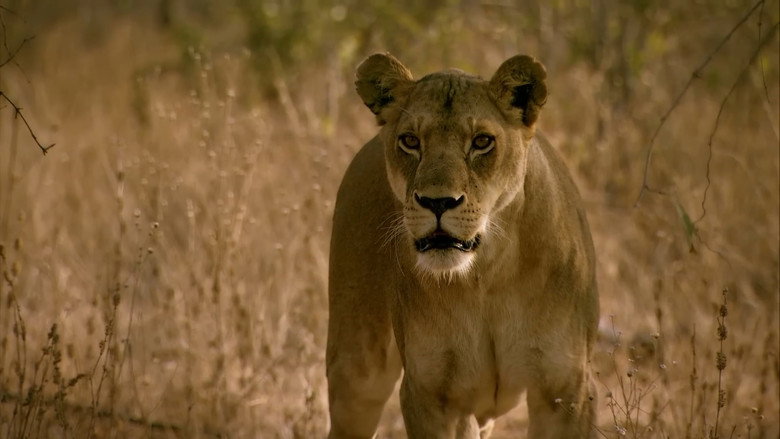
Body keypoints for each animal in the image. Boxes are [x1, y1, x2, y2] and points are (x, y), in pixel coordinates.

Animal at [326, 53, 599, 438]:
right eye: (410, 141)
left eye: (482, 141)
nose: (437, 202)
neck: (489, 274)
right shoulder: (434, 394)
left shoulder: (565, 389)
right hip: (356, 368)